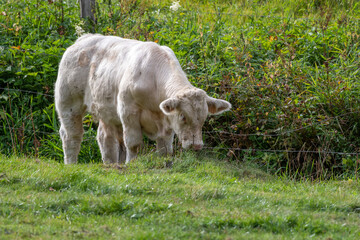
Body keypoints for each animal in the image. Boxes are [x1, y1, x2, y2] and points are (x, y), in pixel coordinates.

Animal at [54, 33, 232, 164]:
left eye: (204, 117)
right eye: (183, 116)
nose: (196, 145)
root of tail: (83, 39)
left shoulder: (166, 121)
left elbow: (165, 149)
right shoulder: (128, 111)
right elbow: (133, 144)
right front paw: (130, 164)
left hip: (107, 110)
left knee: (105, 138)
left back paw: (110, 165)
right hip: (68, 102)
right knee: (71, 135)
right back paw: (71, 163)